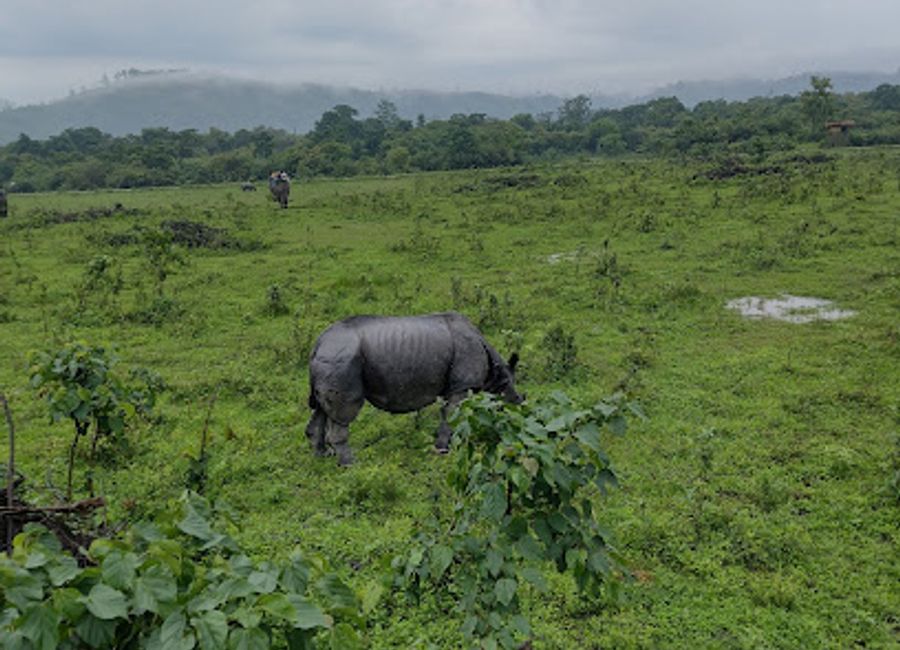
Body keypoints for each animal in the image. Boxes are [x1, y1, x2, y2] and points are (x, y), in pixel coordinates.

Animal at [305, 312, 522, 465]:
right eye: (508, 395)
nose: (519, 404)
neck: (494, 372)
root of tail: (318, 344)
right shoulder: (461, 386)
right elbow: (452, 416)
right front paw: (443, 449)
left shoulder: (453, 387)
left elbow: (449, 415)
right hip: (340, 360)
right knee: (342, 413)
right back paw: (350, 464)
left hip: (332, 360)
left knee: (322, 410)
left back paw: (322, 456)